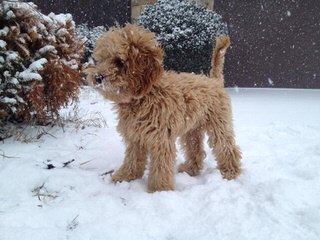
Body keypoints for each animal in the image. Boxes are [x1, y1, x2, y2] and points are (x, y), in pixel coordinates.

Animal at [86, 23, 241, 193]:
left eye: (119, 61)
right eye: (101, 59)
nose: (97, 77)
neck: (146, 95)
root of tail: (214, 80)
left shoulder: (161, 139)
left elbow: (160, 167)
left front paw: (159, 190)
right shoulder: (135, 137)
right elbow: (132, 159)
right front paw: (125, 176)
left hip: (219, 124)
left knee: (227, 147)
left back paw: (231, 171)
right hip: (192, 129)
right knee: (196, 150)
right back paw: (190, 169)